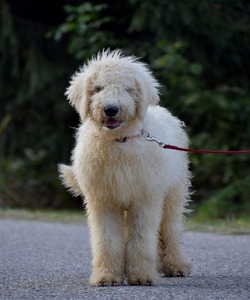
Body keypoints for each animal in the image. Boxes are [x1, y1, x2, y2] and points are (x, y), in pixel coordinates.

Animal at [58, 50, 191, 288]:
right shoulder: (104, 200)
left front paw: (141, 276)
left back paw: (176, 266)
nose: (111, 109)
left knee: (170, 231)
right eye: (98, 88)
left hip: (174, 193)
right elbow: (107, 240)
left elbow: (142, 238)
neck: (119, 141)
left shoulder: (145, 198)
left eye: (128, 88)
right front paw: (107, 276)